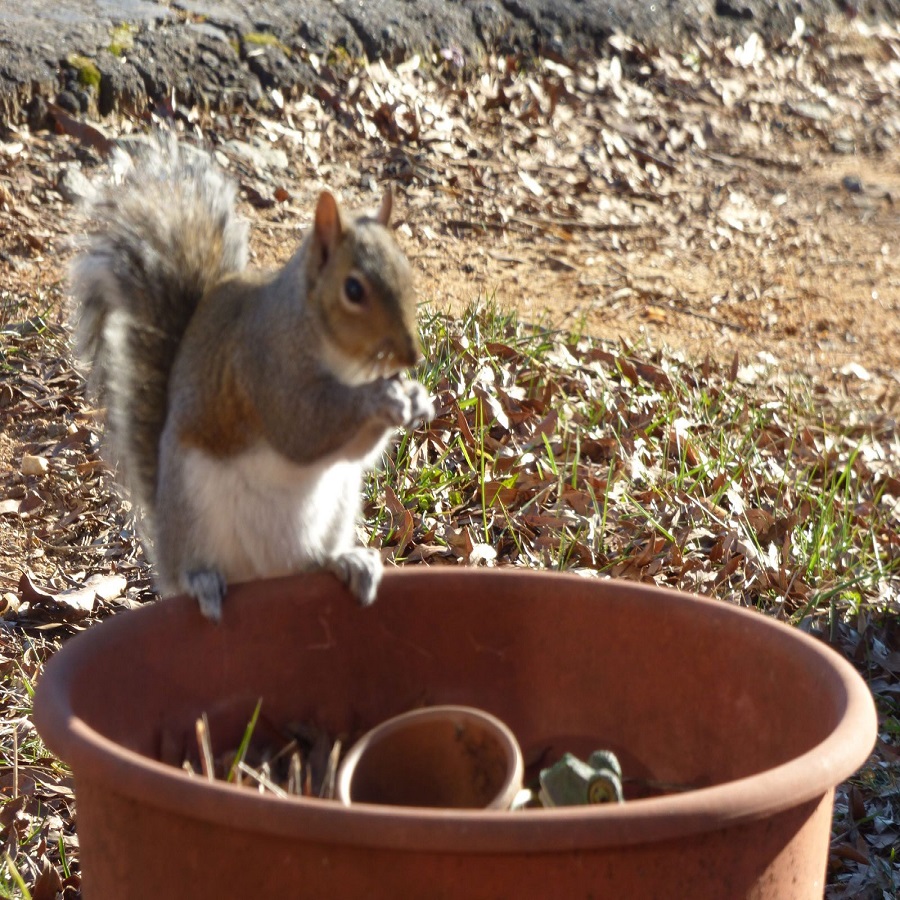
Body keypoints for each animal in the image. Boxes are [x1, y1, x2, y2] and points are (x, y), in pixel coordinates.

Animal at [72, 137, 434, 624]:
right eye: (353, 290)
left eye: (407, 271)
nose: (411, 355)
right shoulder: (263, 368)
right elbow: (302, 431)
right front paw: (381, 399)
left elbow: (353, 450)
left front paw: (416, 397)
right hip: (195, 510)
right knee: (190, 572)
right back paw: (203, 582)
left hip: (337, 506)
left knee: (308, 562)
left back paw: (346, 562)